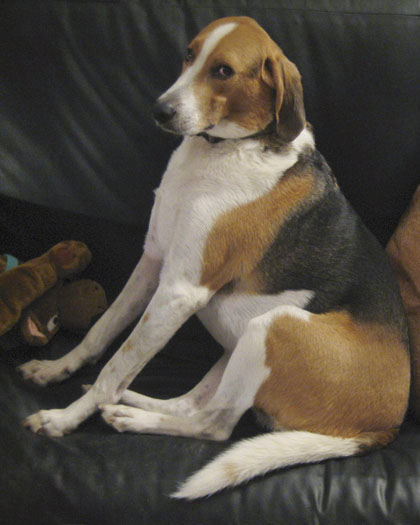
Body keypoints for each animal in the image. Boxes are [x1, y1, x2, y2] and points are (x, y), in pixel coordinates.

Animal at [20, 17, 410, 500]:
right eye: (188, 54)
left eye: (223, 71)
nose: (159, 111)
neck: (222, 148)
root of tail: (386, 427)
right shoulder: (153, 261)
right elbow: (101, 333)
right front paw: (57, 370)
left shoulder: (179, 291)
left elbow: (119, 363)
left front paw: (64, 419)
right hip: (236, 348)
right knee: (191, 403)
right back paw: (131, 403)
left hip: (273, 327)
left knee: (215, 425)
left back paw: (130, 416)